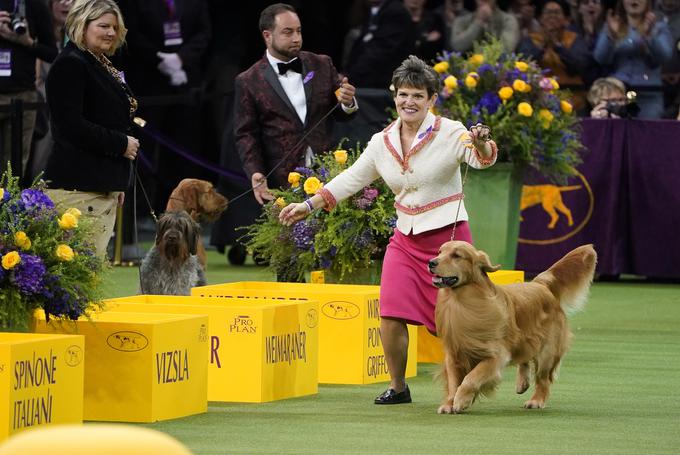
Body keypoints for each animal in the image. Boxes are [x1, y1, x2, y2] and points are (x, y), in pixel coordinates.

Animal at [430, 242, 596, 414]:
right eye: (439, 252)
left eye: (456, 255)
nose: (431, 262)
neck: (461, 302)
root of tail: (540, 284)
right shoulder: (454, 355)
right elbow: (453, 382)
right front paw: (449, 403)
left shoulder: (495, 356)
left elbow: (471, 378)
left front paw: (461, 399)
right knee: (525, 358)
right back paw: (522, 382)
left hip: (547, 351)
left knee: (543, 379)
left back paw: (536, 400)